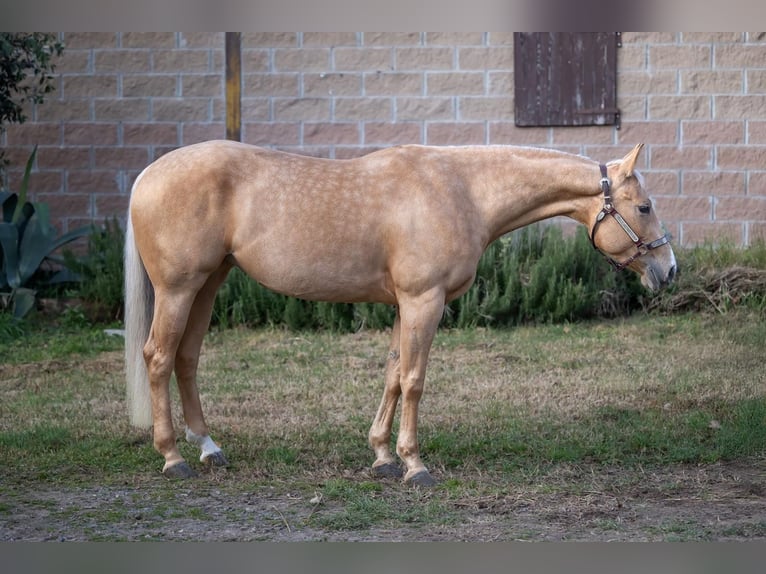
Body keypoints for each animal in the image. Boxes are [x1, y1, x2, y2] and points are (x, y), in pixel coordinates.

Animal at [126, 141, 680, 486]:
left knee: (187, 358)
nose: (669, 270)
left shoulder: (402, 304)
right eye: (645, 206)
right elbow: (414, 380)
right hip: (179, 288)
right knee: (159, 357)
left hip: (209, 282)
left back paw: (208, 447)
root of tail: (146, 176)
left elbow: (393, 375)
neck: (463, 191)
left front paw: (382, 456)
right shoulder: (423, 301)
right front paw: (415, 465)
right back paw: (173, 457)